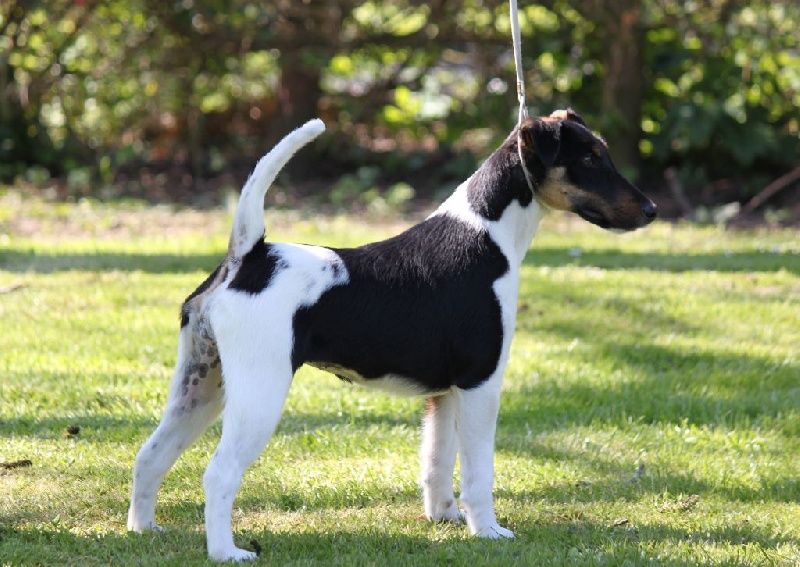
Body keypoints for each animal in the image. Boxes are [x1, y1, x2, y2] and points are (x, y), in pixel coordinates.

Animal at [128, 108, 656, 560]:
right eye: (589, 158)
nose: (651, 209)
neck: (487, 235)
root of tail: (248, 257)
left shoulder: (445, 394)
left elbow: (437, 463)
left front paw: (444, 518)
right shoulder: (481, 383)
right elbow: (478, 471)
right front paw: (487, 530)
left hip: (201, 386)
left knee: (150, 455)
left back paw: (144, 530)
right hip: (259, 393)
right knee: (218, 475)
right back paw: (228, 553)